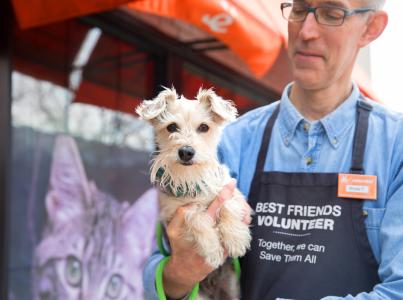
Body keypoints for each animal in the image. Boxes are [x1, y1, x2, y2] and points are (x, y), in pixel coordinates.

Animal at [137, 88, 251, 298]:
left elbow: (228, 205)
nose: (186, 152)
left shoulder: (229, 188)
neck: (191, 179)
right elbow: (196, 217)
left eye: (204, 127)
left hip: (232, 289)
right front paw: (213, 250)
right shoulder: (173, 213)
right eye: (172, 127)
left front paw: (236, 238)